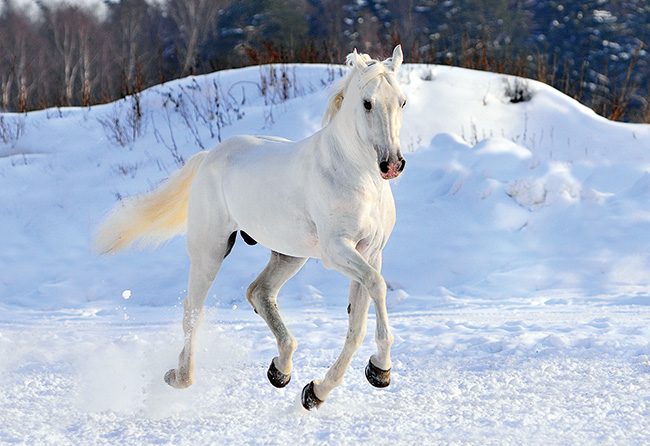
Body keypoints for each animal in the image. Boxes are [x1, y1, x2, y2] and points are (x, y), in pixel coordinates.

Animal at [95, 45, 407, 410]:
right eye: (367, 103)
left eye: (402, 101)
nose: (392, 165)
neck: (356, 176)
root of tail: (210, 155)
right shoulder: (337, 250)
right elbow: (377, 287)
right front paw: (380, 370)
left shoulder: (369, 252)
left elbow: (358, 321)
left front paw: (320, 390)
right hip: (211, 250)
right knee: (193, 309)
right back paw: (181, 376)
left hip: (289, 253)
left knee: (259, 291)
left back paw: (280, 370)